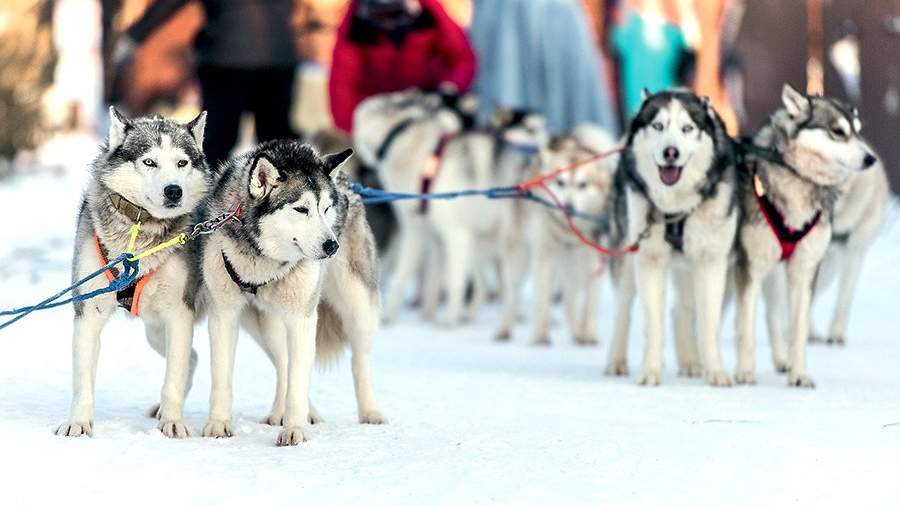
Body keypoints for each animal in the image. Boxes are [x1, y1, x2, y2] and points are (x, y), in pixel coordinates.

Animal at [57, 107, 211, 438]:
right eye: (149, 161)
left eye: (182, 162)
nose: (174, 190)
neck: (140, 230)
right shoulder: (88, 311)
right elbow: (82, 381)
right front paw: (78, 423)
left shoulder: (179, 313)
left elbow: (172, 379)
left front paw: (174, 423)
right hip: (155, 330)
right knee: (192, 358)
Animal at [199, 139, 384, 446]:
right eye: (301, 209)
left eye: (325, 208)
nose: (331, 245)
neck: (263, 262)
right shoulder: (223, 315)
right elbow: (221, 377)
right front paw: (218, 424)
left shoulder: (302, 319)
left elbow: (299, 380)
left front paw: (294, 430)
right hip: (262, 324)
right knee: (283, 362)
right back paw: (281, 412)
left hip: (357, 306)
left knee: (360, 360)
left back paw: (370, 412)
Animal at [492, 126, 620, 346]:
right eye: (560, 182)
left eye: (583, 185)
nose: (568, 206)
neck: (568, 230)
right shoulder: (544, 256)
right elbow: (542, 302)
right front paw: (541, 337)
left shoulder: (593, 260)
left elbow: (590, 304)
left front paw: (588, 334)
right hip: (521, 256)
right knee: (512, 293)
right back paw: (504, 328)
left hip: (572, 266)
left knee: (570, 299)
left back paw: (576, 331)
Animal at [604, 89, 740, 386]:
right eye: (658, 126)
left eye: (687, 128)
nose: (671, 152)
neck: (677, 208)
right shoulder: (650, 261)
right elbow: (654, 325)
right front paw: (651, 372)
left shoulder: (710, 264)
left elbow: (708, 325)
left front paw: (715, 372)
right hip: (628, 261)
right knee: (622, 311)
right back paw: (616, 361)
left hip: (689, 269)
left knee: (681, 311)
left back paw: (691, 362)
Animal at [736, 86, 876, 388]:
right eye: (838, 131)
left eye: (858, 131)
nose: (871, 158)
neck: (798, 179)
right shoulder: (750, 266)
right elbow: (745, 326)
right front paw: (744, 372)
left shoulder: (805, 270)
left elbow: (798, 329)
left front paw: (798, 374)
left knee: (773, 315)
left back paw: (781, 360)